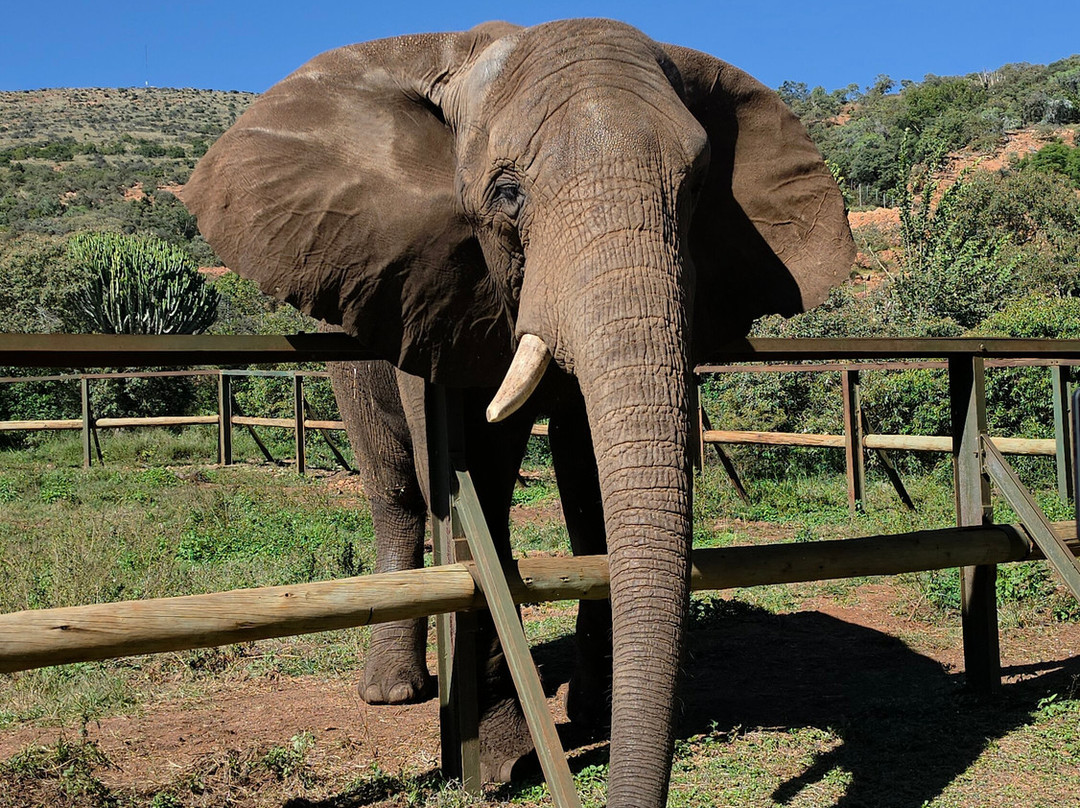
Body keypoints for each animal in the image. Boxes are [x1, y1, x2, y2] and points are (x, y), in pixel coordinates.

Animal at [178, 18, 854, 808]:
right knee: (396, 488)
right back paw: (394, 693)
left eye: (694, 192)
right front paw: (505, 765)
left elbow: (589, 476)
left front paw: (592, 714)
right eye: (506, 194)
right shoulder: (429, 280)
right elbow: (472, 473)